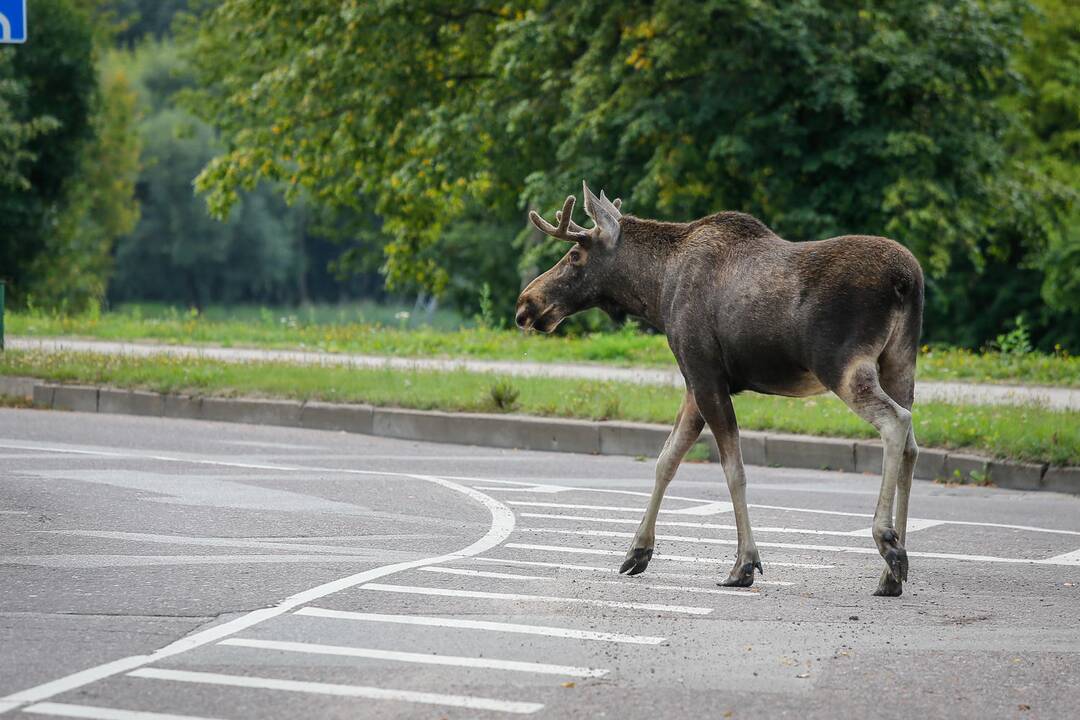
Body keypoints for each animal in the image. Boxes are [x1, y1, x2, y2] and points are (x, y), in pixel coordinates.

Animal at [514, 181, 920, 595]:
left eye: (574, 254)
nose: (527, 303)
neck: (657, 292)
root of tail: (907, 281)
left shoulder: (705, 374)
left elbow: (733, 469)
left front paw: (744, 563)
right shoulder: (695, 383)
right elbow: (666, 460)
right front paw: (638, 550)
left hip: (842, 366)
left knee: (895, 422)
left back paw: (887, 541)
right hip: (899, 363)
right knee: (912, 444)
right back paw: (892, 572)